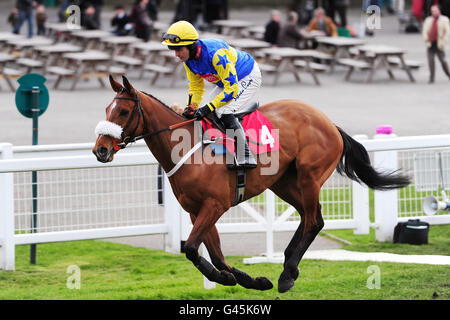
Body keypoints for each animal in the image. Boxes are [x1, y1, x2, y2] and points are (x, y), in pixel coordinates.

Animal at [93, 76, 410, 294]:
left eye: (123, 112)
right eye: (107, 109)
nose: (100, 150)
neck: (187, 149)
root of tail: (330, 123)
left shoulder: (215, 205)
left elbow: (193, 249)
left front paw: (230, 278)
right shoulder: (197, 211)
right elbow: (216, 255)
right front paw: (247, 279)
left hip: (309, 176)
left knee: (313, 220)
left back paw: (287, 273)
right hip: (283, 183)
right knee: (310, 218)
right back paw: (287, 266)